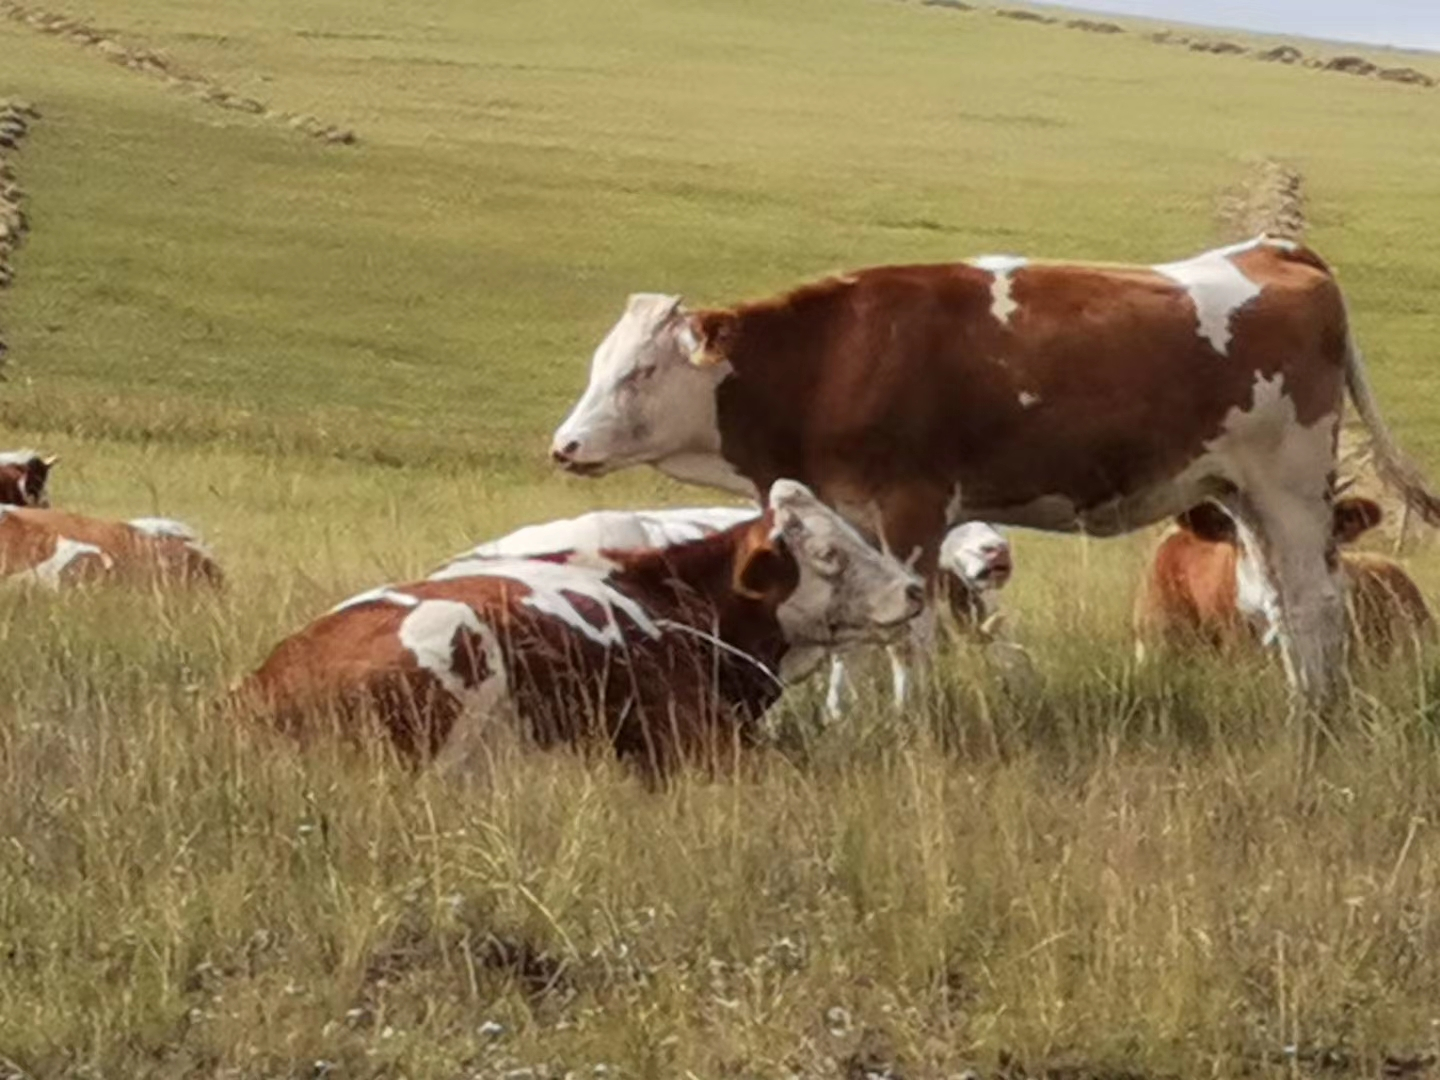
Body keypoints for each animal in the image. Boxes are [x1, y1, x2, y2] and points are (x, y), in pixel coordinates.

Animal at [547, 237, 1440, 705]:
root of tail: (1274, 248)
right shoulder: (846, 512)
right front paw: (844, 722)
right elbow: (849, 637)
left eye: (641, 373)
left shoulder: (911, 506)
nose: (566, 447)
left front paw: (909, 727)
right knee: (1285, 605)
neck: (836, 356)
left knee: (1317, 604)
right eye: (599, 364)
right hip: (1243, 497)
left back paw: (1313, 717)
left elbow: (907, 635)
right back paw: (1300, 702)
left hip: (1292, 489)